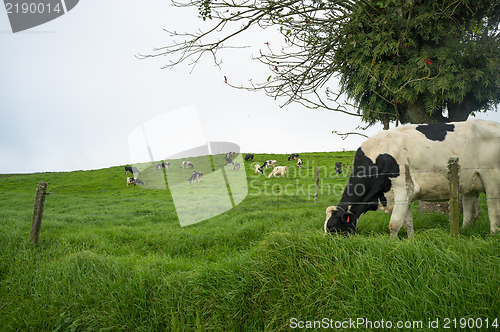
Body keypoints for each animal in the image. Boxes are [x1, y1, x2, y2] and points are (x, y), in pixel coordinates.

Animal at [324, 120, 500, 239]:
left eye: (333, 229)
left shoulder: (404, 188)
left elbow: (394, 223)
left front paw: (391, 244)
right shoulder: (401, 195)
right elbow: (407, 222)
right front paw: (410, 241)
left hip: (491, 177)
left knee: (493, 207)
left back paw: (493, 235)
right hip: (469, 182)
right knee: (472, 211)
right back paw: (464, 232)